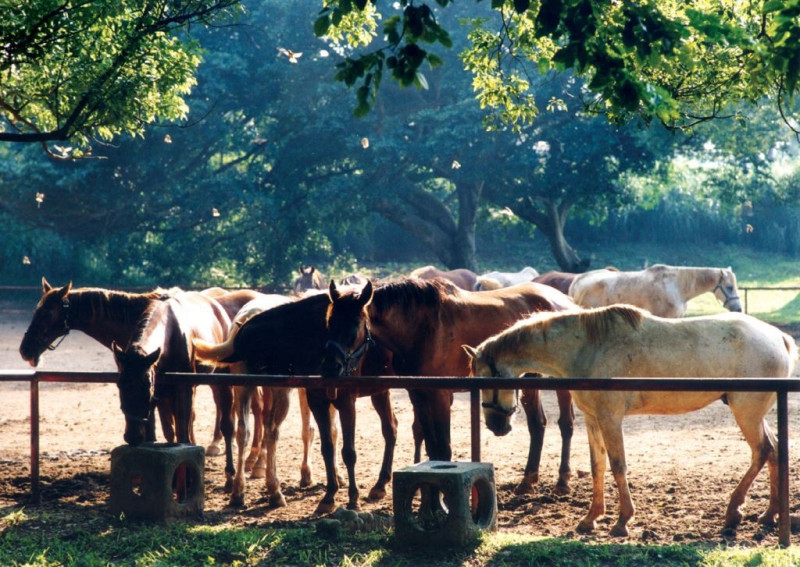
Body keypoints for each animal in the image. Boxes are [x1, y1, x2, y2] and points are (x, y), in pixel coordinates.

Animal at [324, 280, 580, 496]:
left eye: (354, 326)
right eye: (329, 322)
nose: (330, 368)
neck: (421, 328)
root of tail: (567, 301)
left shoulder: (440, 396)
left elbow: (444, 449)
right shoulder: (418, 395)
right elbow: (431, 447)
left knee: (565, 425)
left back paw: (563, 480)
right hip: (529, 382)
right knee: (537, 424)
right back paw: (528, 480)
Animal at [466, 304, 796, 540]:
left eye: (485, 379)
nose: (496, 426)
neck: (588, 347)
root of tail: (779, 337)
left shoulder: (611, 419)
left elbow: (617, 465)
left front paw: (622, 521)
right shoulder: (593, 419)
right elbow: (597, 466)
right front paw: (591, 518)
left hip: (746, 413)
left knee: (763, 451)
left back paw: (733, 511)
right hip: (753, 414)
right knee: (774, 452)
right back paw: (769, 515)